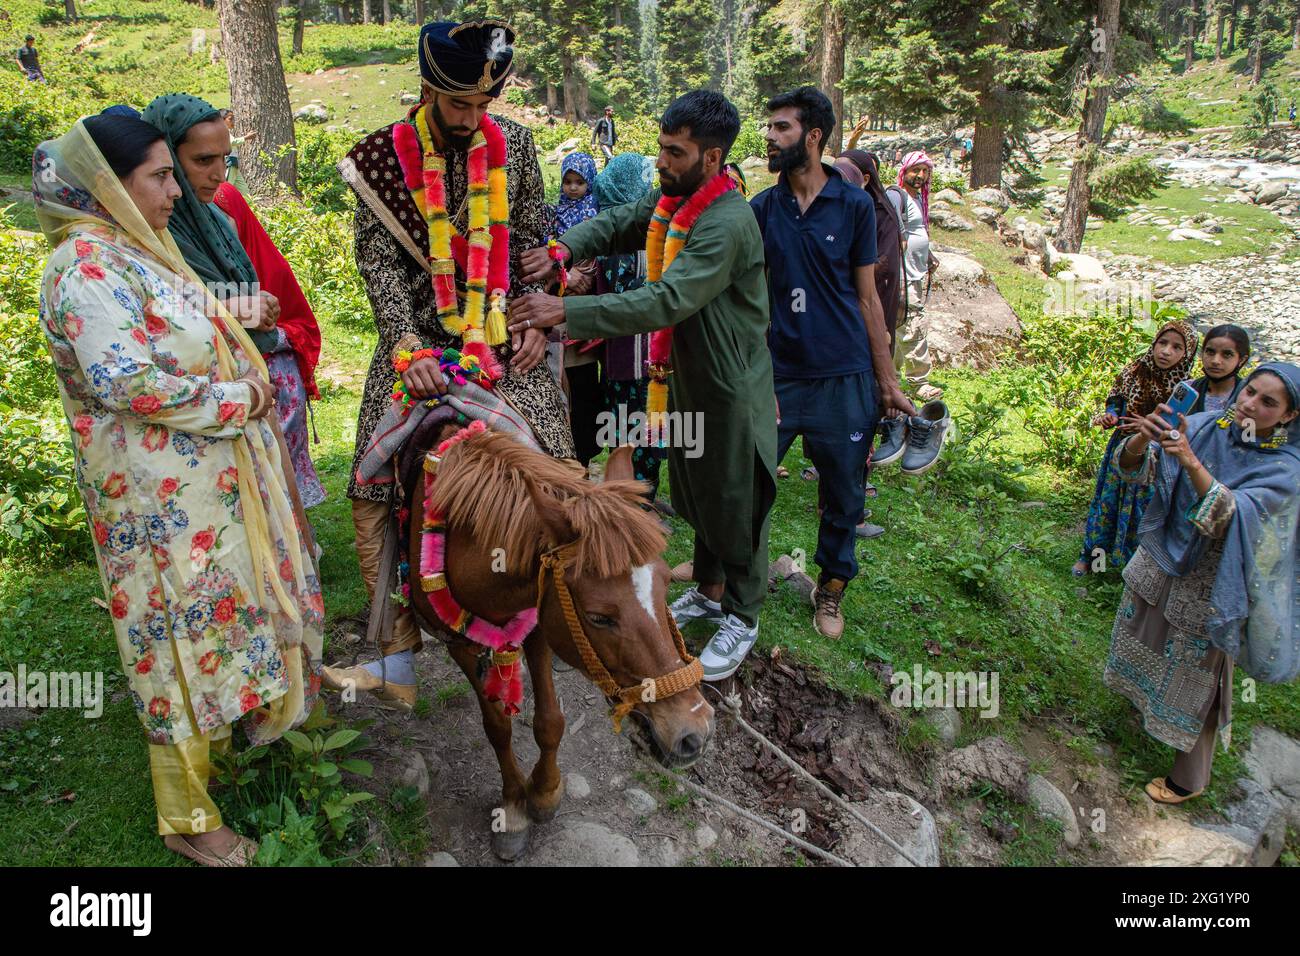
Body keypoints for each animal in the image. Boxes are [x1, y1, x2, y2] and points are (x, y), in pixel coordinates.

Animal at [405, 429, 712, 863]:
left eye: (667, 581)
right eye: (598, 617)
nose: (695, 731)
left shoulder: (540, 620)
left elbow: (550, 722)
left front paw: (545, 792)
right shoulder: (459, 643)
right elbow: (497, 727)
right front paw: (514, 806)